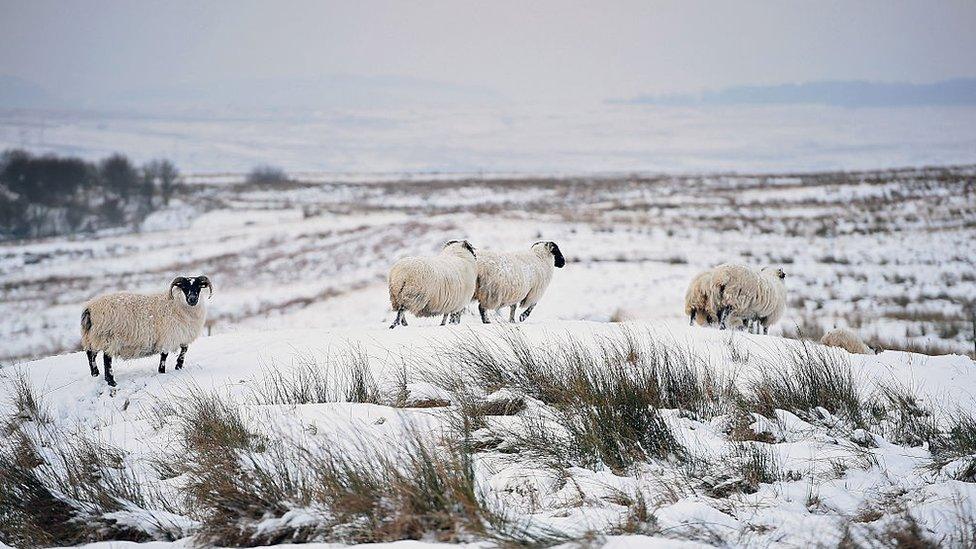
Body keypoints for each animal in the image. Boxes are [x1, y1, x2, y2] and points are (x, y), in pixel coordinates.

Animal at [81, 274, 213, 386]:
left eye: (198, 287)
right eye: (184, 287)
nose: (192, 299)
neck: (177, 304)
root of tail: (89, 308)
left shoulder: (182, 335)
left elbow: (184, 349)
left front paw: (178, 366)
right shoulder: (168, 336)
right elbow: (164, 355)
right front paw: (162, 371)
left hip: (92, 337)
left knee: (90, 354)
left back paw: (95, 374)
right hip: (108, 336)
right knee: (106, 359)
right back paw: (111, 381)